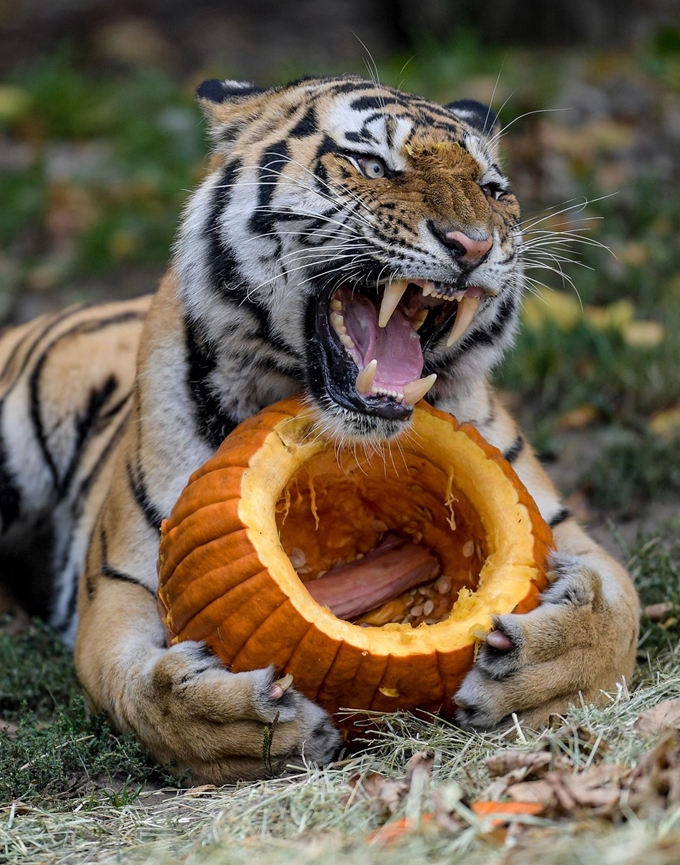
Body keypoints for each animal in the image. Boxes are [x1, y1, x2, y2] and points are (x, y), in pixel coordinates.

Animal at [0, 74, 640, 784]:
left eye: (494, 190)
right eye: (372, 165)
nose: (474, 245)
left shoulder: (561, 528)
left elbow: (620, 614)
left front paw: (541, 665)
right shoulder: (115, 586)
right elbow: (137, 690)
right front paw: (238, 726)